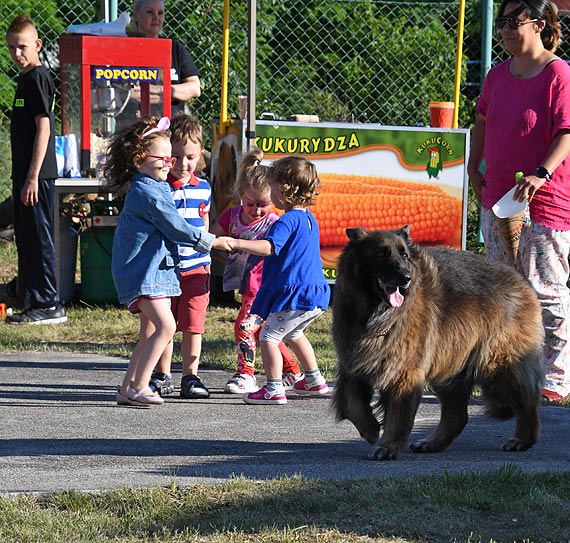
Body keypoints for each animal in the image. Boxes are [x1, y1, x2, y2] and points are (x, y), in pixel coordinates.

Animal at [330, 227, 544, 462]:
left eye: (405, 256)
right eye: (381, 254)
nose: (406, 278)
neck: (374, 312)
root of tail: (520, 281)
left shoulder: (403, 374)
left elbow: (397, 416)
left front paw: (387, 446)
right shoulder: (354, 363)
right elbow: (351, 403)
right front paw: (369, 429)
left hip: (497, 367)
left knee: (527, 401)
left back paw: (523, 439)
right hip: (451, 370)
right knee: (457, 416)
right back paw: (432, 444)